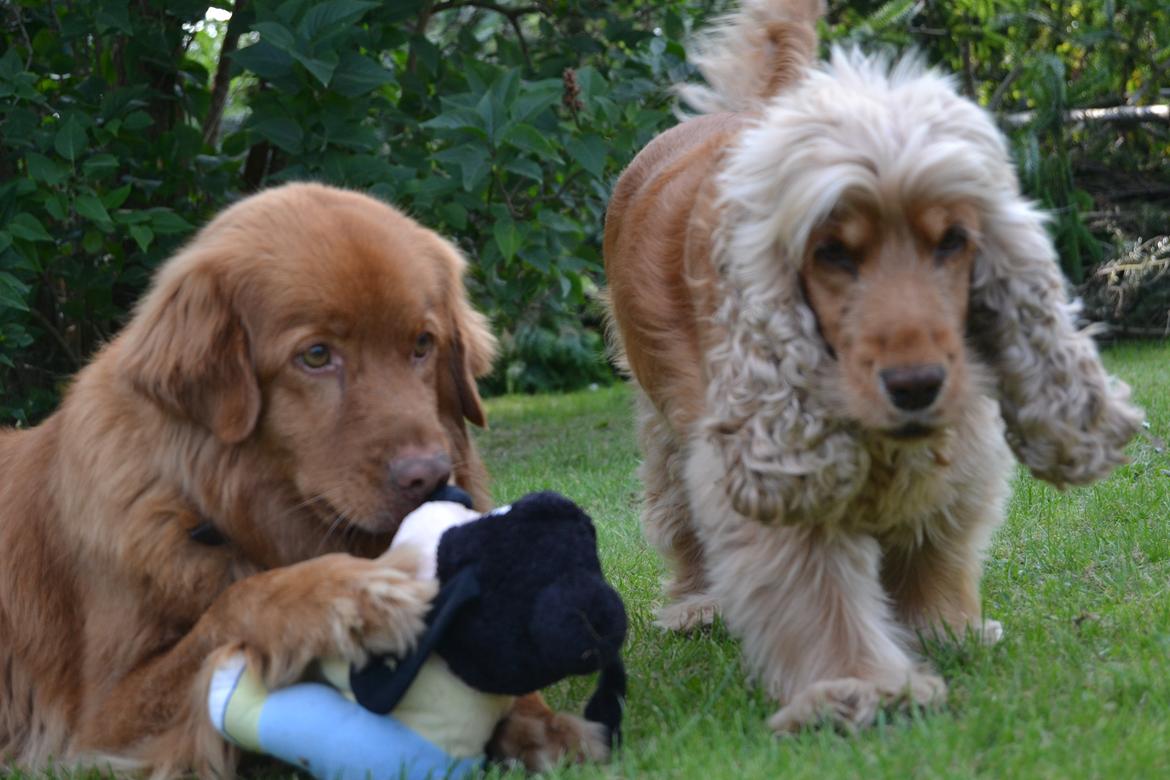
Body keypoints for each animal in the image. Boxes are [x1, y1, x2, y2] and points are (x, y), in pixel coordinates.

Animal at [0, 183, 603, 776]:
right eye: (316, 355)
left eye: (422, 344)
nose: (431, 478)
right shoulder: (99, 718)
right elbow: (234, 602)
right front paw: (347, 596)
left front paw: (548, 727)